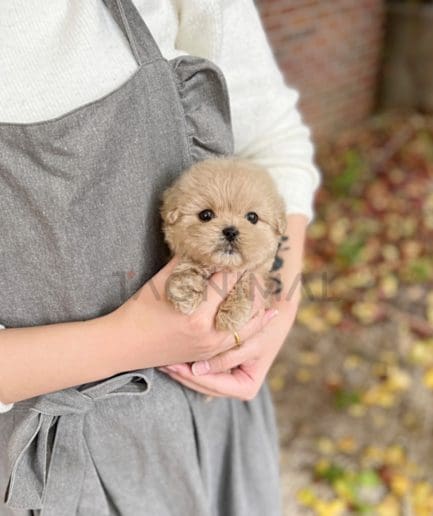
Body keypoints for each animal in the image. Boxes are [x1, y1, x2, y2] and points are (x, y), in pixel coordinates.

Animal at [159, 158, 286, 330]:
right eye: (206, 215)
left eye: (252, 217)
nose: (231, 232)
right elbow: (189, 264)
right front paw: (185, 291)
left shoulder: (258, 272)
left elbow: (248, 279)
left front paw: (231, 313)